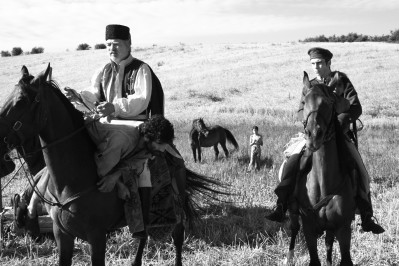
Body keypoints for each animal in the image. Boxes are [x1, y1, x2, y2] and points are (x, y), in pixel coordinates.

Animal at [288, 71, 356, 266]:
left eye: (329, 103)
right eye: (304, 102)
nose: (313, 135)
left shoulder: (343, 229)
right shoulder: (309, 228)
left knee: (328, 244)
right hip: (294, 215)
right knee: (293, 230)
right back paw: (289, 257)